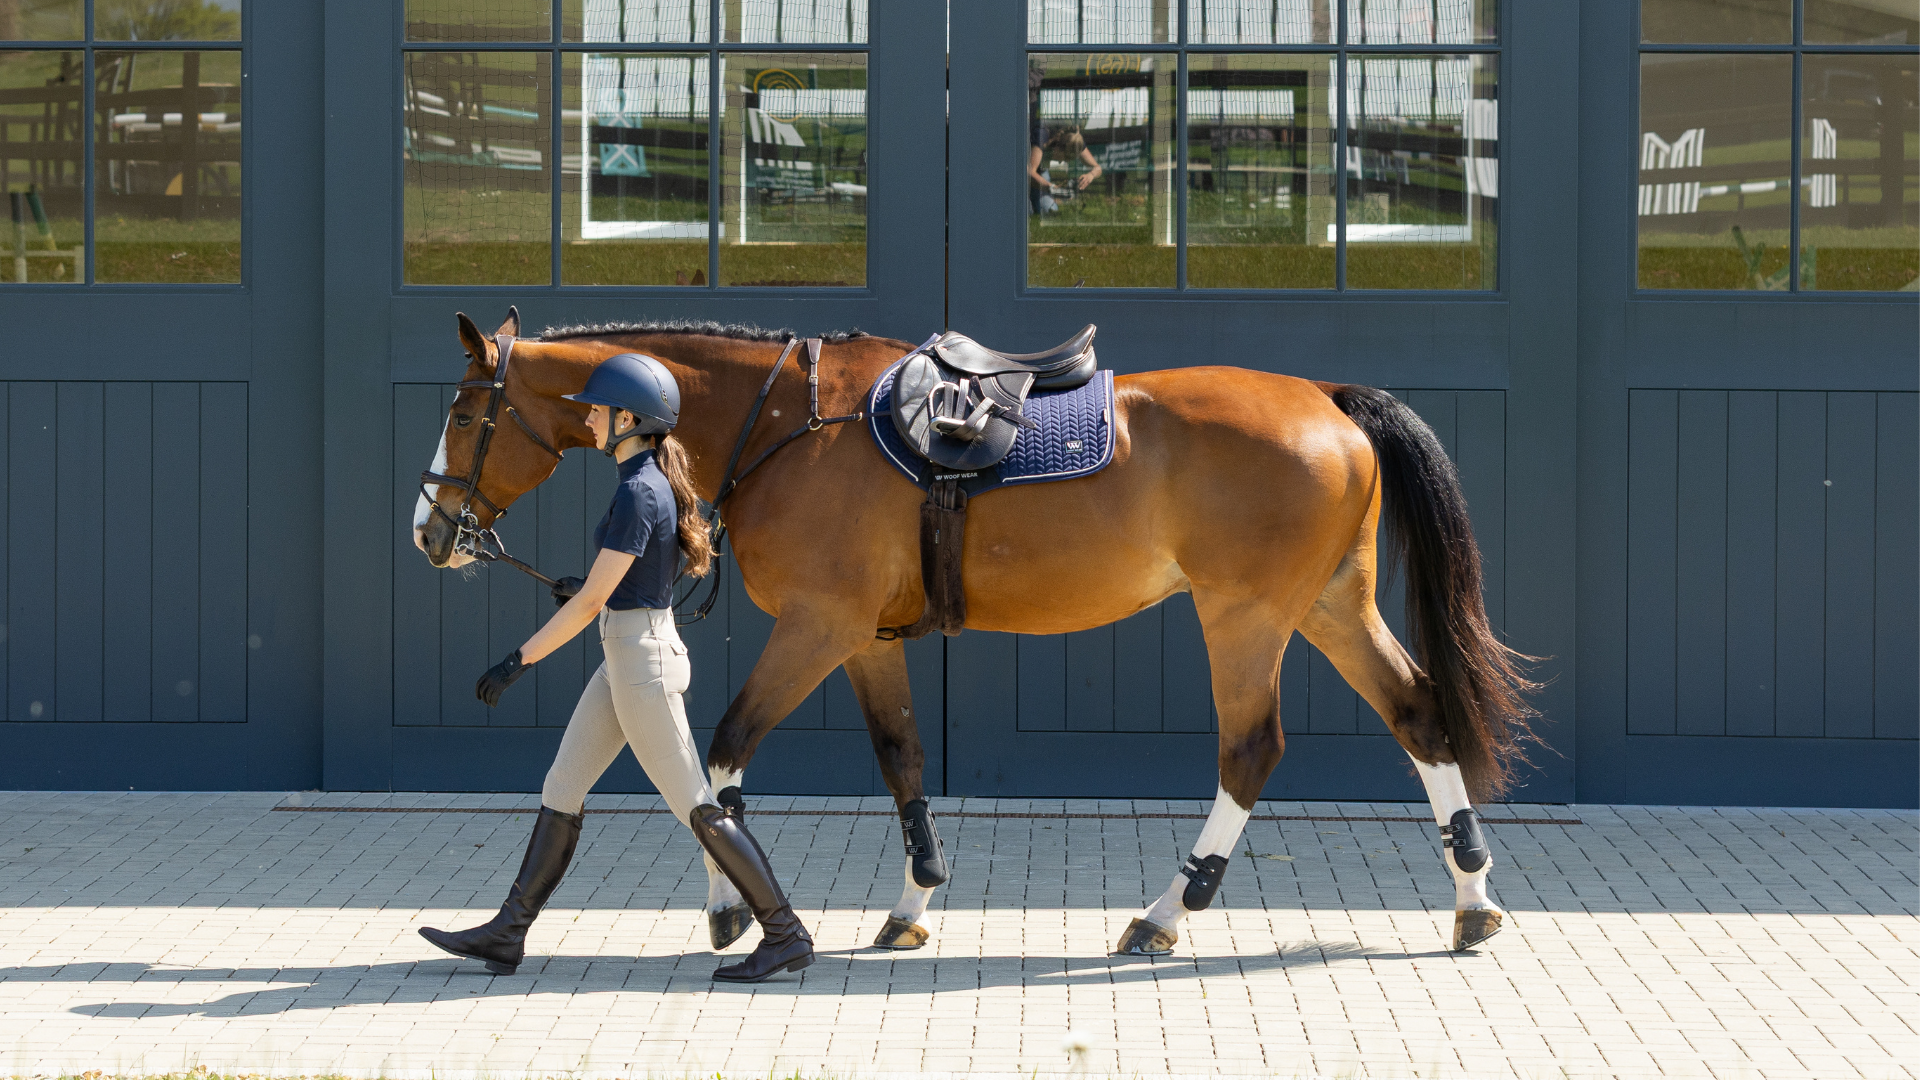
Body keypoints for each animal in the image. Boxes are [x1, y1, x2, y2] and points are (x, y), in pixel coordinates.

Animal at [411, 308, 1538, 956]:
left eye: (467, 411)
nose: (432, 530)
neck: (787, 421)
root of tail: (1330, 402)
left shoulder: (816, 628)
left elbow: (719, 759)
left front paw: (733, 912)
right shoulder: (866, 640)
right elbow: (902, 760)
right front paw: (911, 905)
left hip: (1247, 616)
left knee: (1252, 749)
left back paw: (1165, 914)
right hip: (1331, 605)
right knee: (1419, 716)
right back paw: (1471, 900)